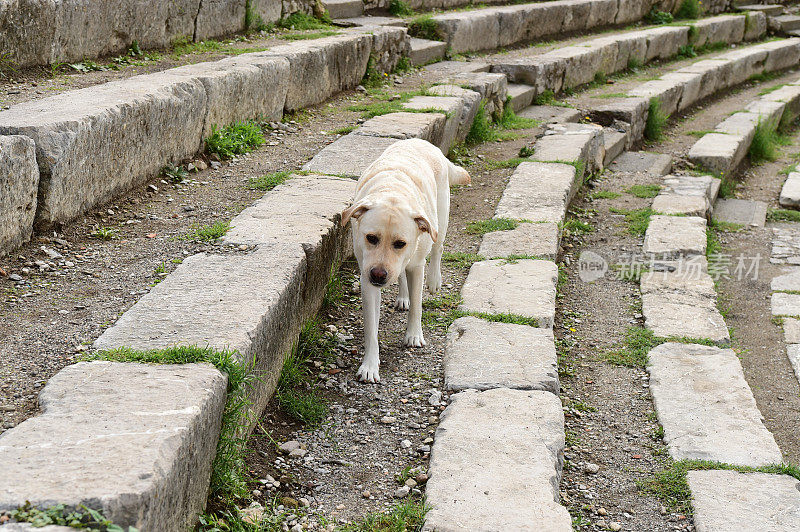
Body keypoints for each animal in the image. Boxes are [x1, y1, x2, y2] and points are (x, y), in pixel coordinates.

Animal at [342, 138, 468, 382]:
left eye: (400, 243)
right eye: (371, 238)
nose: (379, 274)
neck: (393, 191)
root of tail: (423, 142)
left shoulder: (417, 266)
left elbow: (417, 306)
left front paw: (413, 335)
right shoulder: (367, 279)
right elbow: (370, 328)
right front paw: (370, 365)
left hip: (441, 222)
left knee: (437, 249)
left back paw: (434, 280)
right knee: (401, 274)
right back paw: (402, 296)